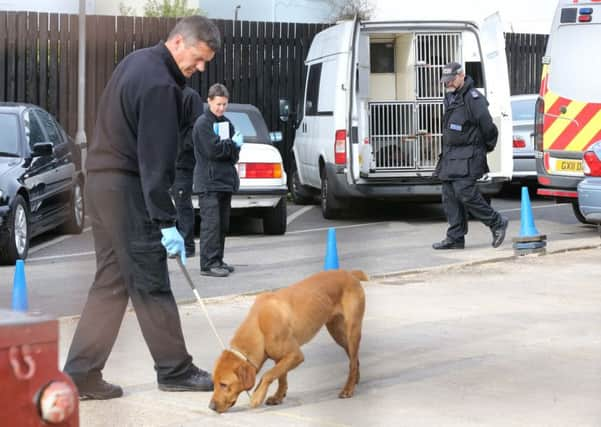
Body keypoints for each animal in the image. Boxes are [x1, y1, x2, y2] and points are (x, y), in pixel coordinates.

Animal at [209, 270, 368, 412]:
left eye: (224, 384)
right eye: (214, 383)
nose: (211, 407)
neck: (258, 327)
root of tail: (349, 273)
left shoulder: (295, 355)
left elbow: (268, 374)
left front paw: (258, 396)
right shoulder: (280, 357)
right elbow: (280, 376)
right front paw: (278, 396)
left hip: (352, 331)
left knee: (353, 361)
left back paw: (348, 388)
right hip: (338, 333)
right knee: (354, 359)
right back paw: (355, 380)